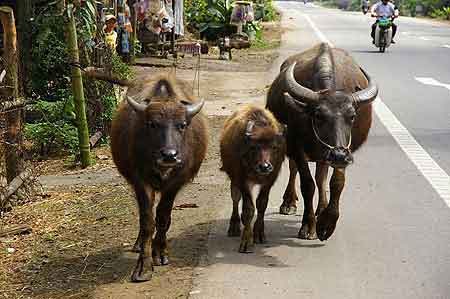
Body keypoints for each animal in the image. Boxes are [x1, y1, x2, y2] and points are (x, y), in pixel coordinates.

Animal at [110, 75, 208, 282]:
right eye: (152, 124)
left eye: (182, 125)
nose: (169, 155)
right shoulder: (140, 180)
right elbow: (147, 221)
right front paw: (143, 266)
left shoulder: (175, 182)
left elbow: (163, 217)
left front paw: (160, 253)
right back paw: (139, 243)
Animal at [220, 105, 286, 253]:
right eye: (254, 147)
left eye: (274, 147)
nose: (265, 166)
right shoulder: (242, 179)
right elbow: (248, 209)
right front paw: (246, 241)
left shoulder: (269, 181)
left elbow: (262, 204)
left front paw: (259, 234)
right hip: (234, 179)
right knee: (235, 198)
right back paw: (234, 226)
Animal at [266, 42, 378, 241]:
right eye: (318, 115)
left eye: (352, 116)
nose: (339, 155)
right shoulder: (296, 145)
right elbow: (307, 184)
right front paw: (308, 226)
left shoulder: (345, 149)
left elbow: (336, 183)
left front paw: (327, 223)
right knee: (295, 170)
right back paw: (289, 202)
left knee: (321, 177)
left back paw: (322, 208)